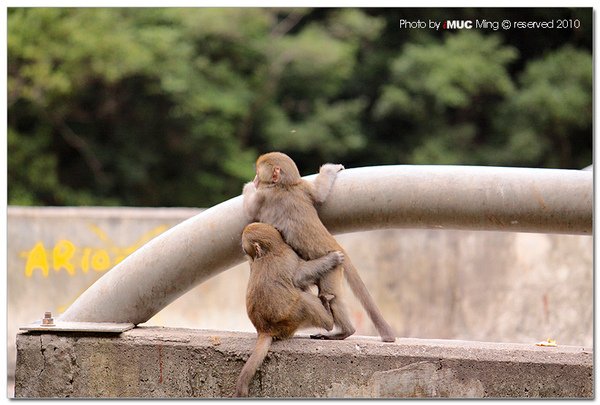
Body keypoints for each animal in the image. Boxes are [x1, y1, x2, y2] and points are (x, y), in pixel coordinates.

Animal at [236, 221, 344, 394]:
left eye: (245, 246)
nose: (242, 250)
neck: (273, 249)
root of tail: (265, 330)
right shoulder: (290, 255)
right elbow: (299, 277)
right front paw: (333, 258)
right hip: (292, 318)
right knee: (306, 301)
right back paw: (328, 319)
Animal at [241, 151, 396, 340]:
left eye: (258, 173)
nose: (255, 179)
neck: (286, 185)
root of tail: (335, 244)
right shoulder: (305, 187)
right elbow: (320, 193)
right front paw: (332, 169)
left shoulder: (263, 196)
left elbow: (250, 208)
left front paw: (248, 187)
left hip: (332, 271)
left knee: (331, 296)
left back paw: (345, 331)